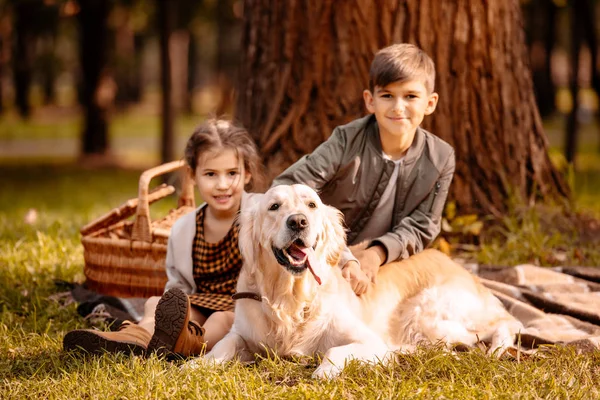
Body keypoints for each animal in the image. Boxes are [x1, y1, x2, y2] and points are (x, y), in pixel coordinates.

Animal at [202, 184, 520, 378]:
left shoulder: (371, 341)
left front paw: (323, 372)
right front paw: (197, 365)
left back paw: (495, 348)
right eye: (274, 206)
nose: (298, 222)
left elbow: (334, 350)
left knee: (503, 324)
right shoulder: (240, 333)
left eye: (312, 205)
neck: (291, 298)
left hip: (424, 313)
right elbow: (221, 346)